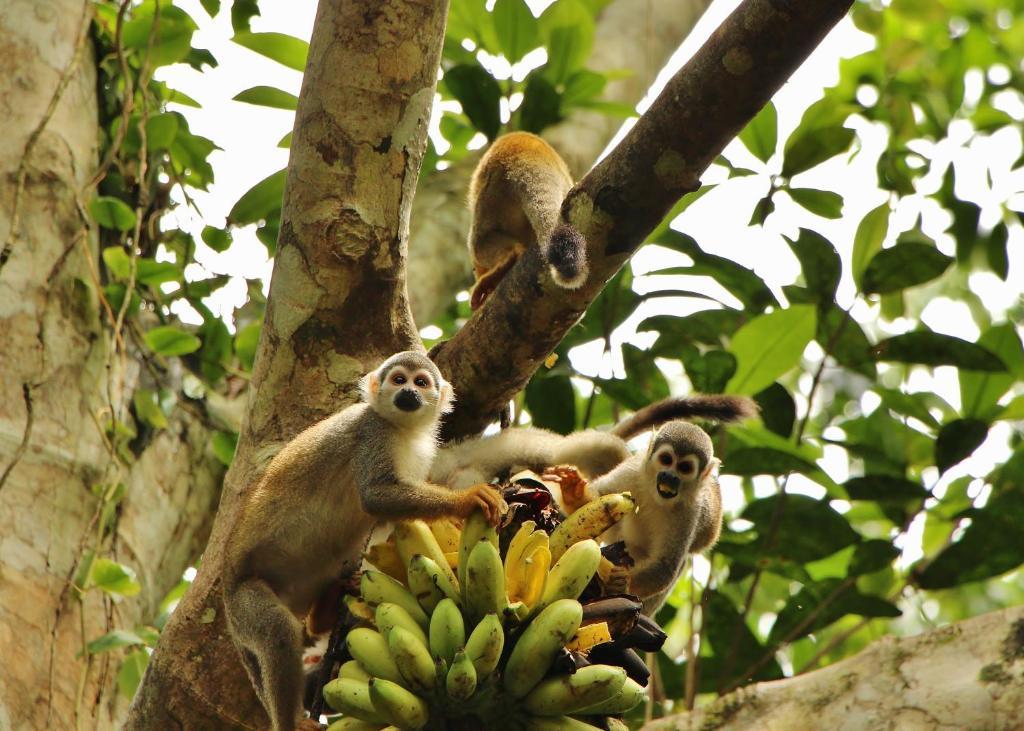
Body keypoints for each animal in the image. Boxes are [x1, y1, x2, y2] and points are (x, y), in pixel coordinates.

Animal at [225, 350, 507, 724]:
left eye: (421, 382)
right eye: (399, 379)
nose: (409, 393)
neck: (401, 428)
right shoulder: (373, 433)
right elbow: (376, 496)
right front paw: (466, 501)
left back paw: (327, 608)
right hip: (244, 599)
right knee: (277, 631)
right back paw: (293, 721)